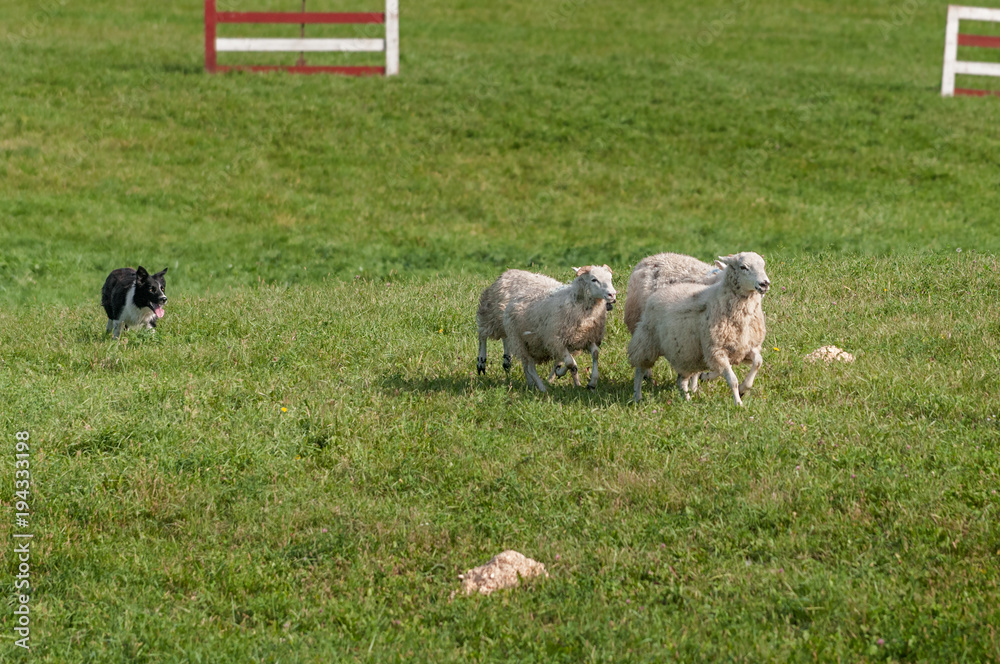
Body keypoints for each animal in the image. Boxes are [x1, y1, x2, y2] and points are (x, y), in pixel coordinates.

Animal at [627, 252, 770, 406]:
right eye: (743, 267)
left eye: (763, 265)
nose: (765, 284)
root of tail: (649, 258)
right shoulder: (712, 346)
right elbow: (731, 377)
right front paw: (737, 402)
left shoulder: (741, 347)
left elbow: (757, 362)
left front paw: (742, 388)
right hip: (645, 333)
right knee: (641, 364)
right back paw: (639, 392)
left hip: (682, 348)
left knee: (682, 374)